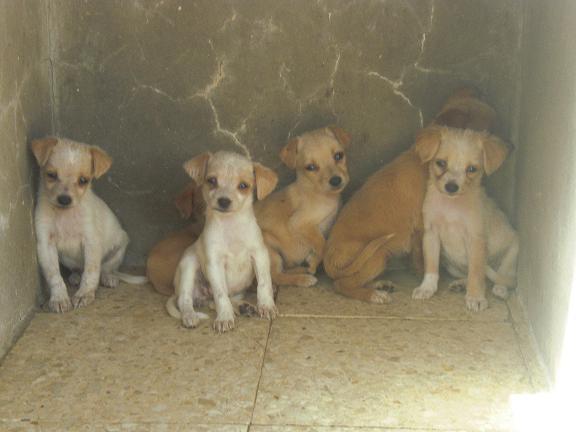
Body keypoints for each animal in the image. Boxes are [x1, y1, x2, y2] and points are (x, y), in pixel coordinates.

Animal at [31, 138, 146, 314]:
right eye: (51, 175)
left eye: (83, 181)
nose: (64, 199)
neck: (65, 214)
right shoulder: (45, 244)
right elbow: (54, 275)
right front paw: (59, 298)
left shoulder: (91, 241)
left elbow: (91, 272)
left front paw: (84, 294)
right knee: (78, 269)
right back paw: (75, 276)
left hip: (119, 247)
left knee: (106, 267)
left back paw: (108, 277)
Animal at [165, 150, 280, 332]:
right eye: (212, 180)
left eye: (243, 186)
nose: (224, 201)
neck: (230, 225)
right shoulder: (214, 263)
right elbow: (221, 295)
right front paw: (225, 318)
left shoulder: (260, 255)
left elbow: (264, 284)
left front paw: (267, 306)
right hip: (189, 265)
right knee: (186, 300)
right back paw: (190, 316)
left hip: (237, 289)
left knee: (215, 302)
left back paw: (243, 307)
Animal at [255, 126, 352, 288]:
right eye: (310, 167)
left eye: (338, 155)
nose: (336, 180)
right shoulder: (300, 222)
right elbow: (322, 244)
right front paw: (313, 262)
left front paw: (311, 261)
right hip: (269, 250)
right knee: (275, 277)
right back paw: (303, 279)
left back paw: (301, 269)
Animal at [322, 88, 498, 300]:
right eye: (487, 130)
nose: (510, 147)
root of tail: (328, 260)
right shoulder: (423, 226)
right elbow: (423, 258)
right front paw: (426, 282)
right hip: (379, 254)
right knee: (342, 284)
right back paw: (373, 295)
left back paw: (379, 284)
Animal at [412, 126, 520, 312]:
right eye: (441, 163)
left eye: (471, 169)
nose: (451, 187)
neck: (451, 206)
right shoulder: (431, 234)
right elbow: (431, 266)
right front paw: (427, 288)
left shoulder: (475, 239)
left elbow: (476, 273)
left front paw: (476, 297)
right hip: (452, 265)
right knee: (470, 275)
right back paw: (460, 284)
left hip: (511, 254)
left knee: (503, 277)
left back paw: (500, 289)